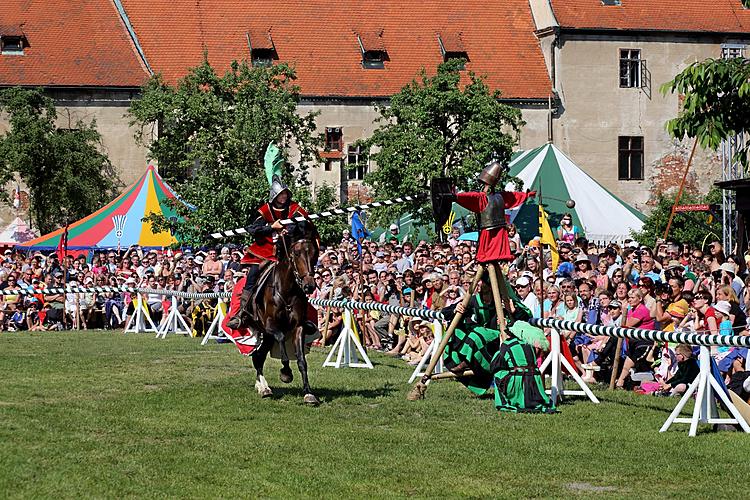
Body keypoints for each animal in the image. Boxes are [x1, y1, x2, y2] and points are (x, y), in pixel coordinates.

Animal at [248, 219, 322, 406]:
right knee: (258, 357)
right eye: (296, 253)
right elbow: (282, 339)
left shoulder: (298, 327)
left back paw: (262, 386)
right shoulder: (271, 325)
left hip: (267, 337)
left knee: (258, 356)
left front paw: (308, 393)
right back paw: (264, 388)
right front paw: (286, 373)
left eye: (314, 253)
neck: (286, 290)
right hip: (266, 332)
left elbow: (302, 361)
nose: (309, 286)